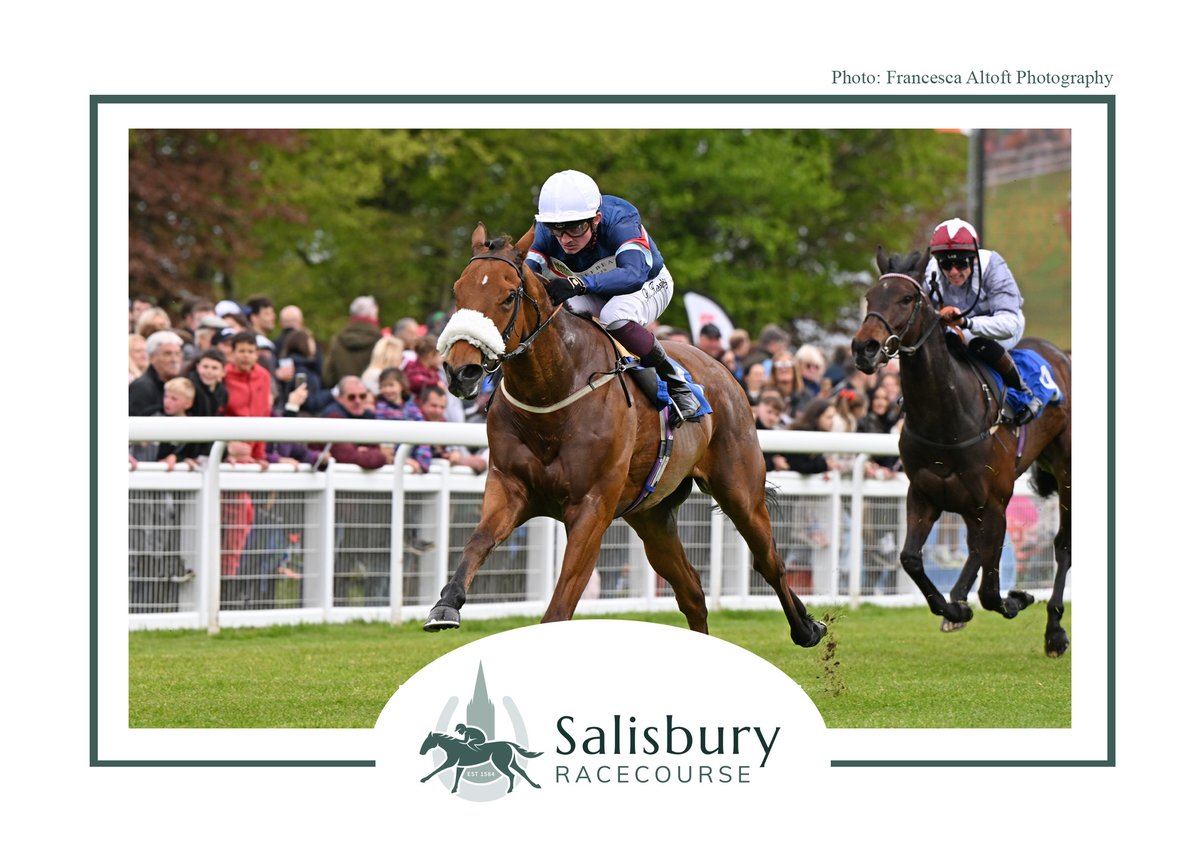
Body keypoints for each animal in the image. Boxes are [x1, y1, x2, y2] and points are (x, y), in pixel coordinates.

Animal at [422, 223, 825, 643]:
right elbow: (477, 542)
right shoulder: (510, 487)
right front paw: (446, 605)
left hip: (740, 491)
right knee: (692, 592)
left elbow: (559, 607)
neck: (552, 394)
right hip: (652, 515)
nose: (461, 371)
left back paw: (806, 627)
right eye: (459, 291)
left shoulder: (591, 507)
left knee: (770, 562)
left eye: (508, 295)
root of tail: (724, 370)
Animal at [849, 247, 1075, 652]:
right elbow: (911, 559)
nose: (865, 348)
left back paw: (1054, 630)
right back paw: (957, 600)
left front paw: (1017, 598)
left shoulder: (996, 502)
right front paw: (954, 609)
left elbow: (990, 589)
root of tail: (1061, 352)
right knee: (973, 547)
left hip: (1064, 472)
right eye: (869, 297)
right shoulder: (925, 493)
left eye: (907, 298)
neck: (946, 415)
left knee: (1062, 545)